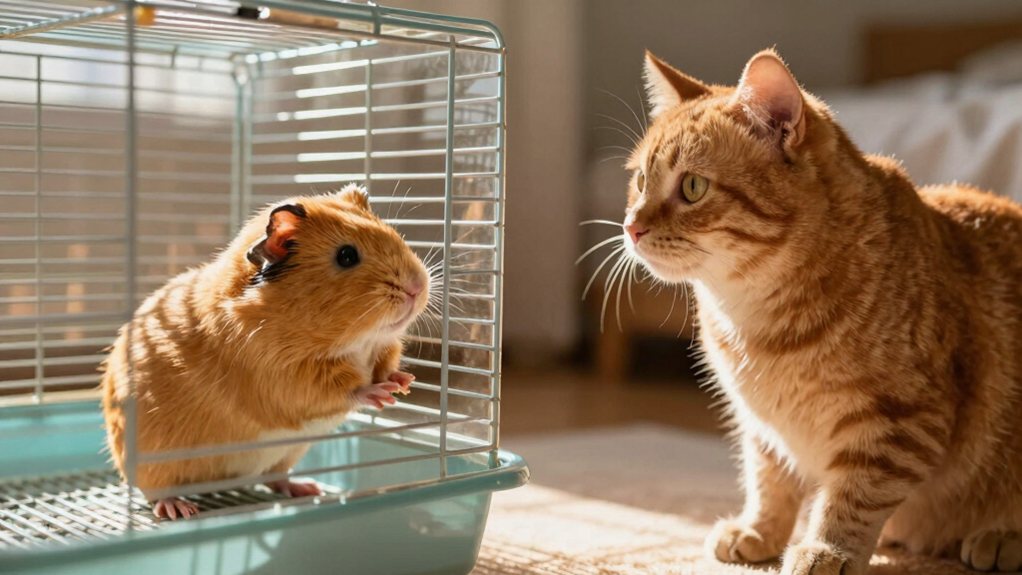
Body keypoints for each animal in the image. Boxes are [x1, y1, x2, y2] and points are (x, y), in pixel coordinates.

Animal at [101, 184, 430, 520]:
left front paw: (403, 383)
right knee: (156, 492)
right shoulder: (286, 377)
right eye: (346, 256)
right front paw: (381, 394)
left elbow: (386, 366)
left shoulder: (381, 349)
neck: (359, 344)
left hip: (287, 455)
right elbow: (347, 389)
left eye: (394, 233)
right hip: (153, 466)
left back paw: (307, 488)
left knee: (276, 478)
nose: (418, 286)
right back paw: (180, 509)